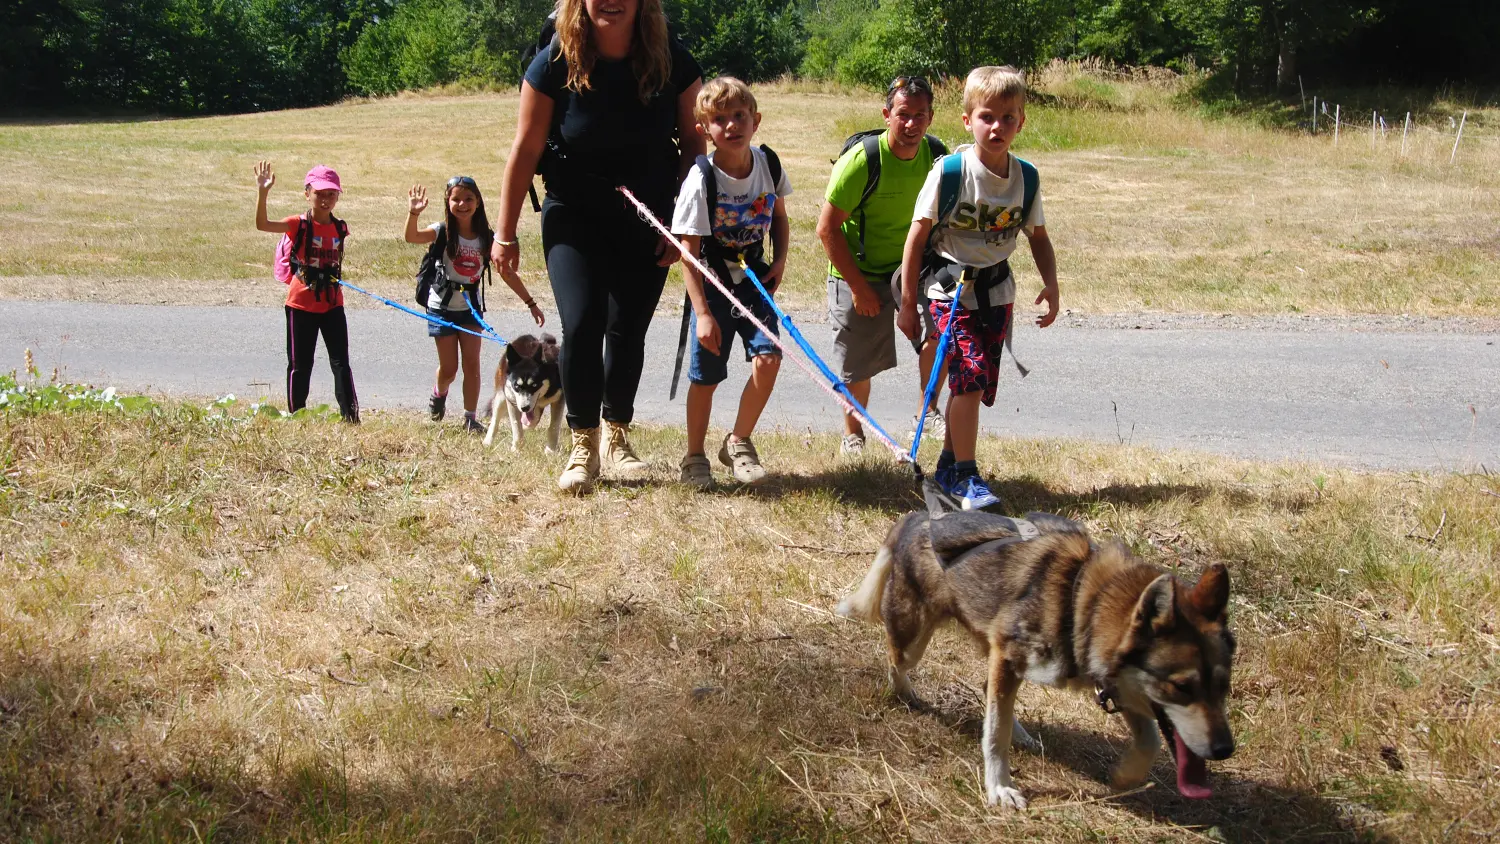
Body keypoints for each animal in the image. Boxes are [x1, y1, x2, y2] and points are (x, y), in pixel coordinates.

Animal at [840, 509, 1236, 809]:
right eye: (1181, 687)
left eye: (1223, 686)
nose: (1225, 749)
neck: (1082, 602)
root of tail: (916, 517)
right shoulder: (1009, 657)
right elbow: (994, 735)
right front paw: (999, 787)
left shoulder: (1115, 684)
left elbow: (1150, 739)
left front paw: (1128, 775)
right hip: (915, 643)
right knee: (897, 661)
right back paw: (903, 694)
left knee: (987, 690)